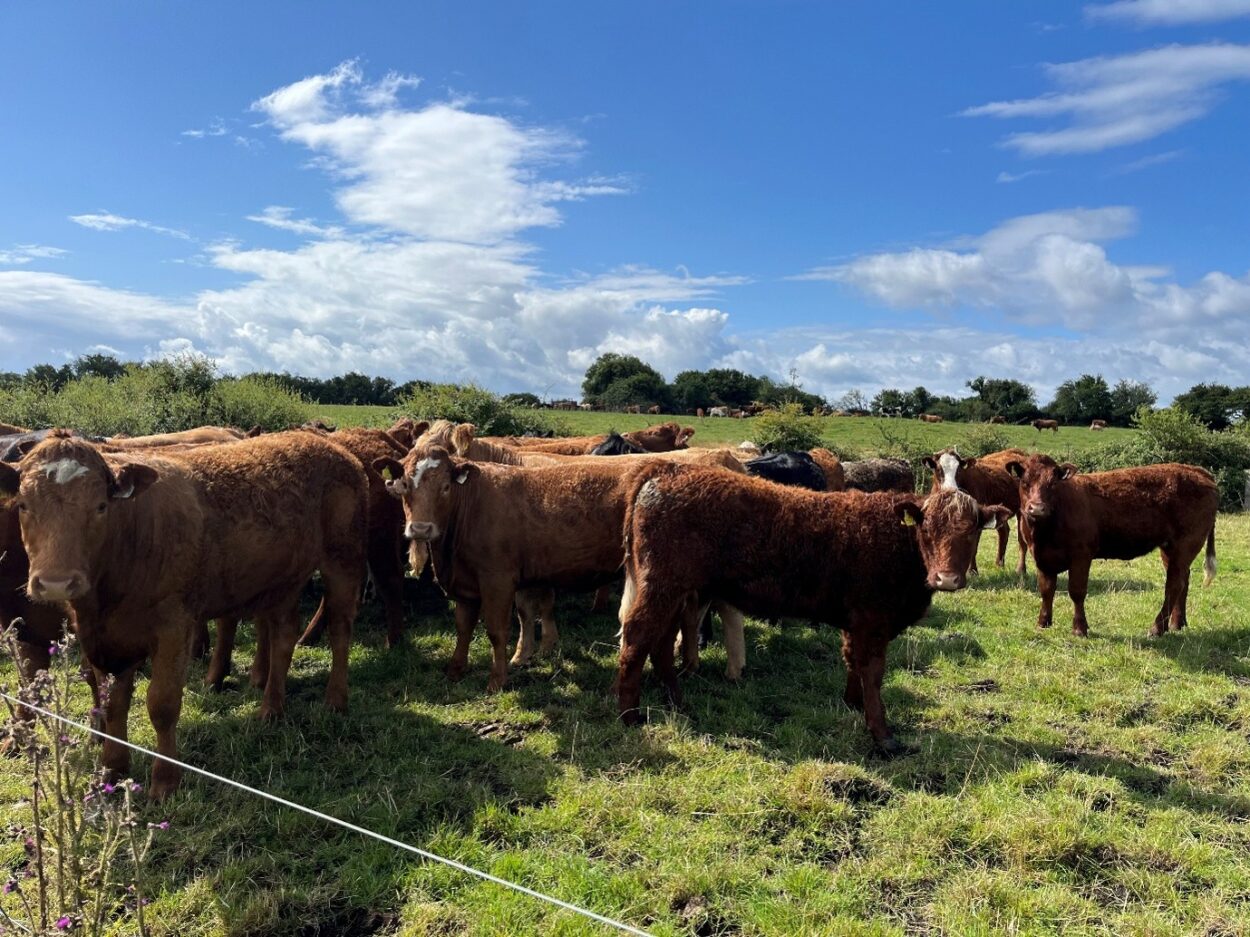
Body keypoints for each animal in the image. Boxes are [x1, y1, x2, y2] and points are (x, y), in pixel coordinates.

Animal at [0, 431, 367, 799]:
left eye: (101, 506)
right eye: (23, 505)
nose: (56, 582)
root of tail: (321, 440)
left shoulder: (174, 627)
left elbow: (162, 704)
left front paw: (165, 781)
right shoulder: (106, 639)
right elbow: (112, 704)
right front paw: (112, 771)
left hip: (342, 559)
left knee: (339, 629)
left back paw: (335, 700)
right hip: (283, 580)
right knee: (284, 636)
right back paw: (271, 708)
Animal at [615, 466, 1010, 752]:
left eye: (972, 531)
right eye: (927, 529)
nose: (947, 578)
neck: (898, 543)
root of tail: (666, 472)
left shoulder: (856, 621)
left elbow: (852, 663)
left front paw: (853, 704)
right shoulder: (873, 621)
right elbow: (872, 671)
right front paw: (882, 734)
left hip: (676, 592)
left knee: (661, 643)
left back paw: (679, 705)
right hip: (662, 587)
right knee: (637, 639)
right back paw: (630, 717)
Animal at [1006, 454, 1218, 637]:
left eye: (1053, 484)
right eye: (1024, 483)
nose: (1037, 508)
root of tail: (1198, 471)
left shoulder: (1081, 556)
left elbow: (1076, 591)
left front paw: (1079, 628)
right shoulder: (1042, 557)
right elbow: (1046, 590)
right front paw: (1043, 623)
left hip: (1185, 545)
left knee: (1174, 585)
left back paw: (1157, 628)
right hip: (1170, 549)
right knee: (1183, 581)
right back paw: (1176, 623)